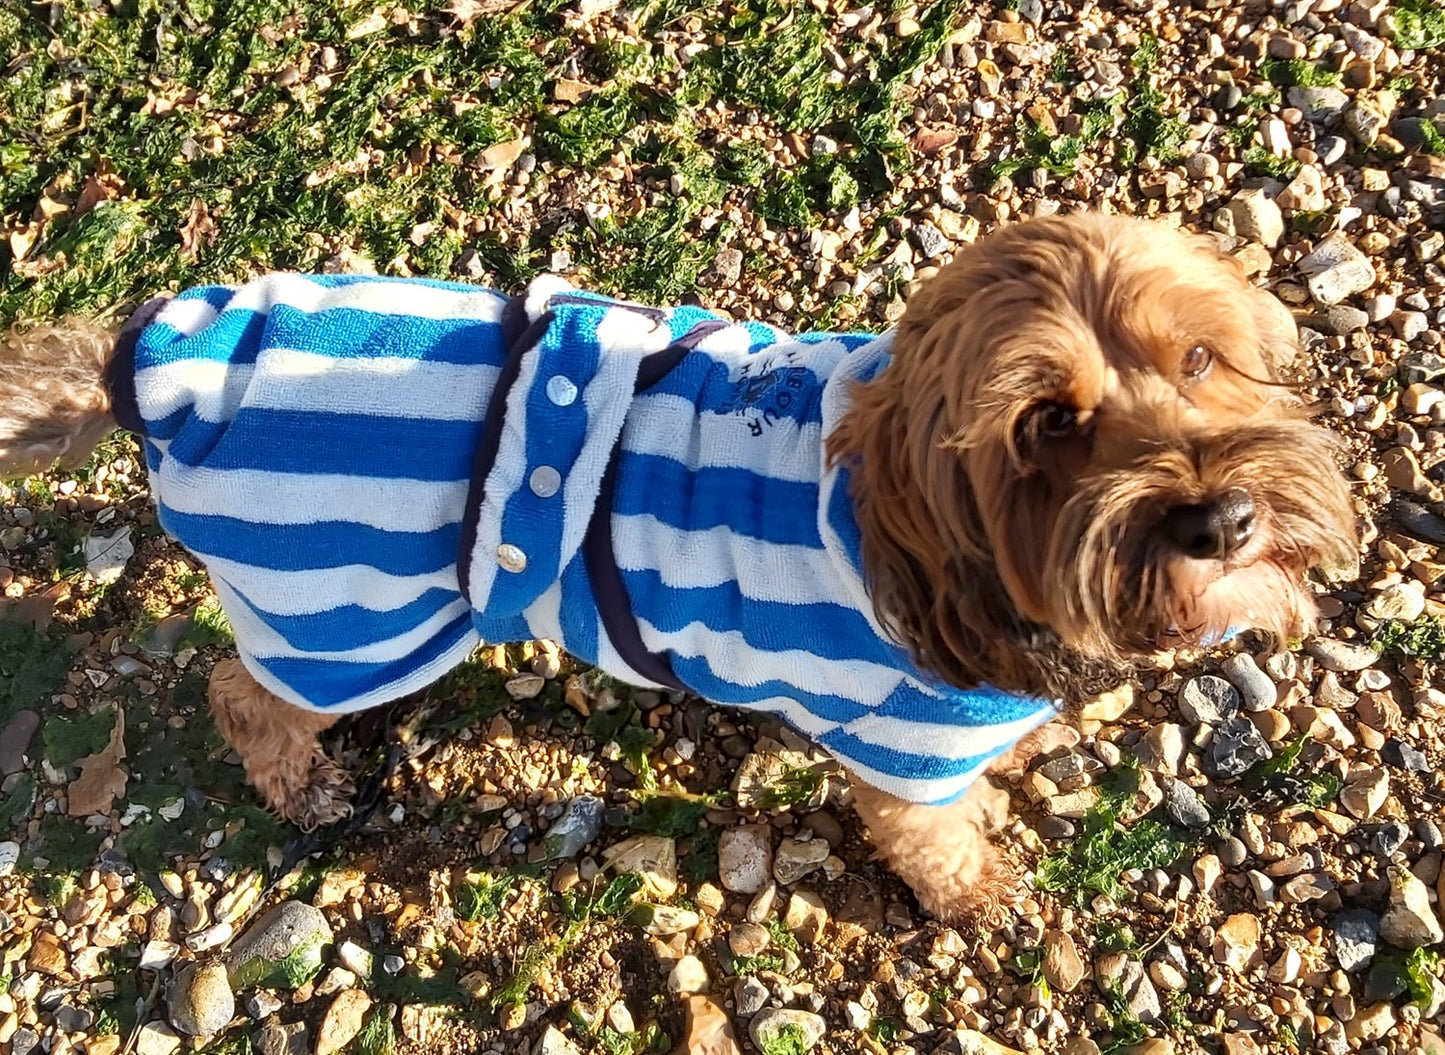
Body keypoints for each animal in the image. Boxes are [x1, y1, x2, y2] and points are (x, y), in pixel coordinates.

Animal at [0, 215, 1352, 919]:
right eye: (1046, 426)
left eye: (1197, 358)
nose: (1221, 519)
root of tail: (159, 360)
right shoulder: (902, 755)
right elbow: (931, 839)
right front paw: (974, 888)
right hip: (346, 611)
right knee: (245, 695)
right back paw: (301, 783)